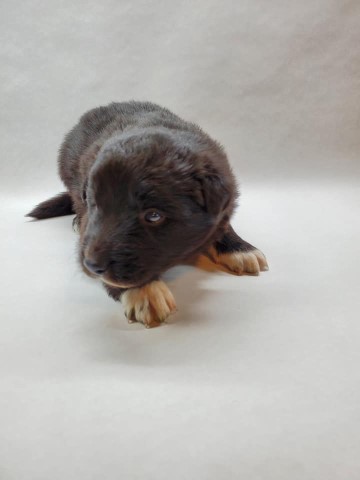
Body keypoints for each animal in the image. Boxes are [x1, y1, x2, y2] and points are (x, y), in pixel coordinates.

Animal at [27, 101, 268, 326]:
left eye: (153, 215)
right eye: (94, 204)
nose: (91, 265)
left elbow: (223, 224)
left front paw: (240, 249)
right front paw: (144, 292)